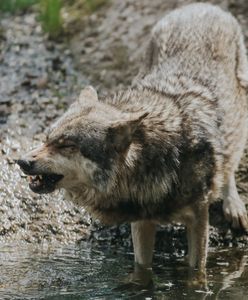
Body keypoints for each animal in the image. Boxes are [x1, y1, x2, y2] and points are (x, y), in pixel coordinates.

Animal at [17, 2, 248, 278]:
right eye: (47, 139)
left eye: (67, 146)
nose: (21, 161)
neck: (162, 157)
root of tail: (199, 6)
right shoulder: (142, 220)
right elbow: (142, 268)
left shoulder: (198, 219)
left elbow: (196, 270)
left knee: (231, 161)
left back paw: (234, 205)